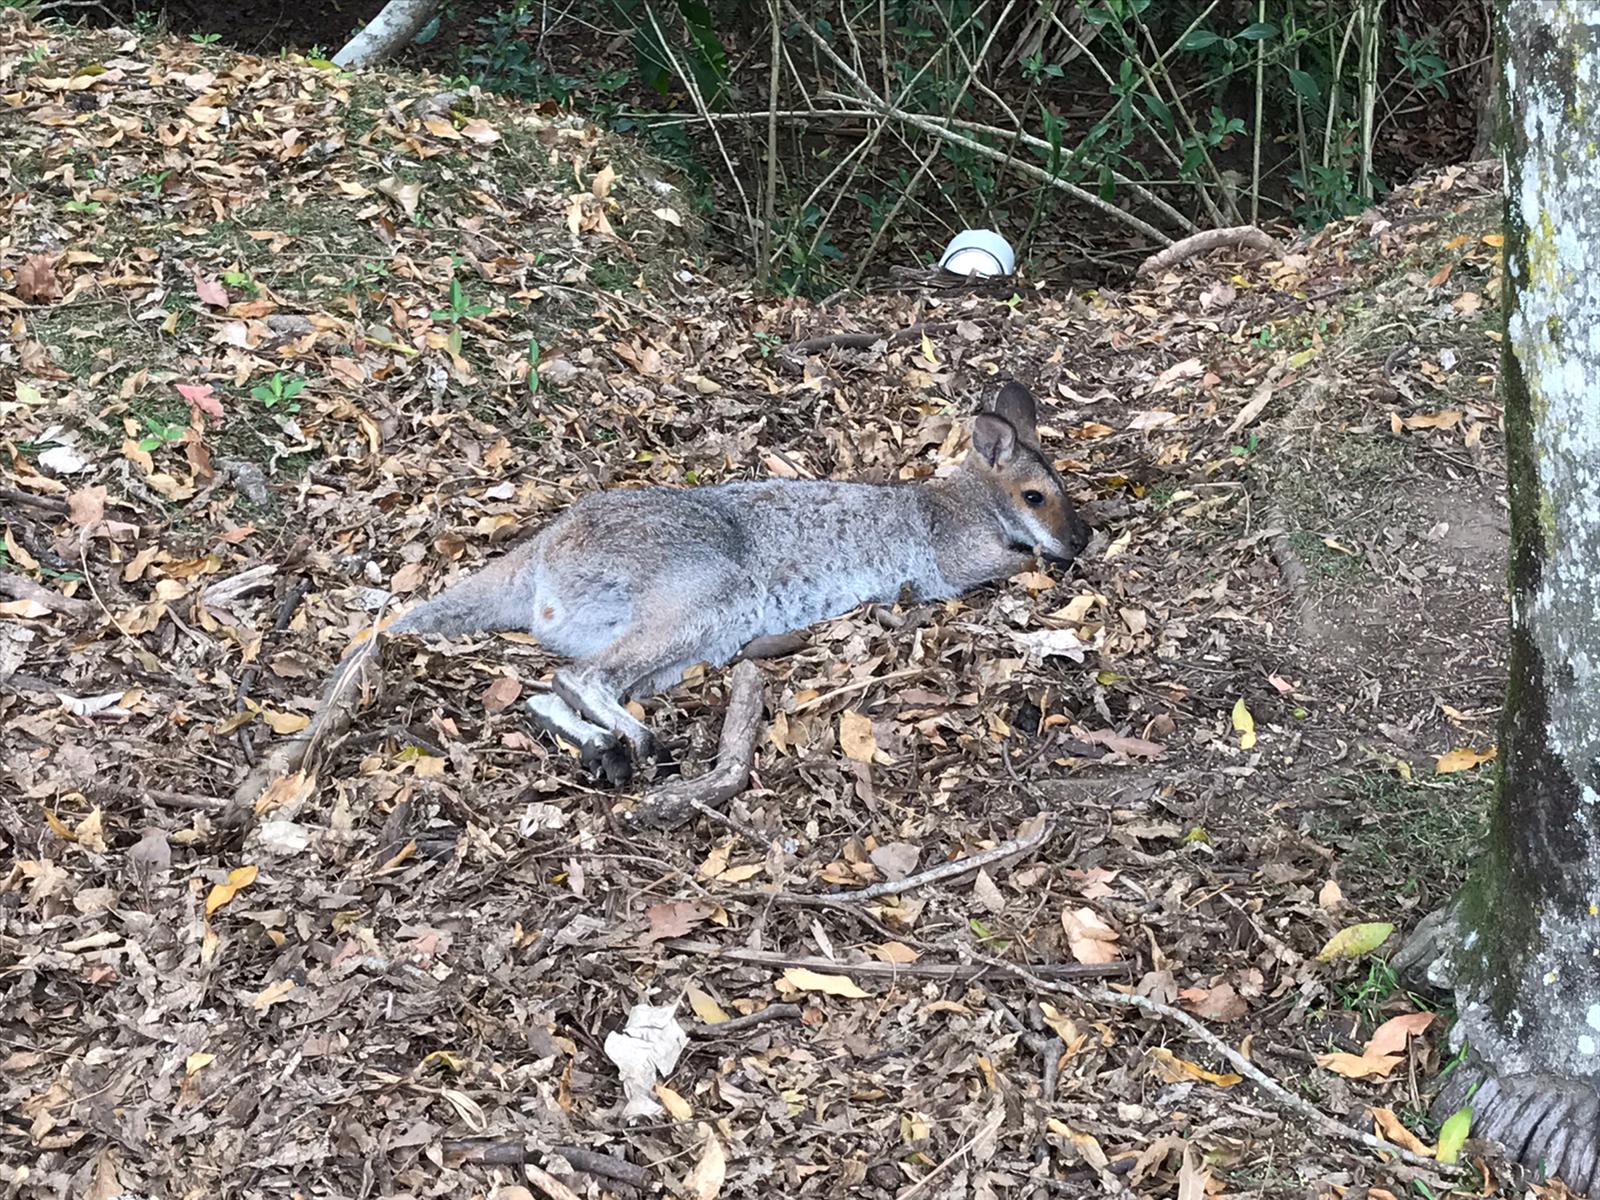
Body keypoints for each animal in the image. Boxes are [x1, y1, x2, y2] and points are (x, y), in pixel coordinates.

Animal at [234, 380, 1090, 801]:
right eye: (1038, 497)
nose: (1083, 540)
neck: (967, 502)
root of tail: (543, 548)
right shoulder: (955, 561)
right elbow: (1007, 566)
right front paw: (1044, 564)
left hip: (689, 634)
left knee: (554, 686)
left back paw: (605, 751)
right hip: (707, 591)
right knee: (580, 676)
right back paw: (636, 746)